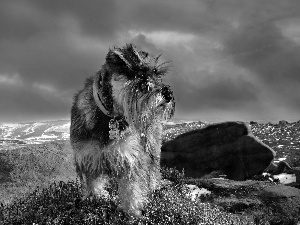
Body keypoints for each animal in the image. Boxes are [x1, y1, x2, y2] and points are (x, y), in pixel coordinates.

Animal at [69, 44, 175, 216]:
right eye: (141, 75)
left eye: (157, 73)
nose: (168, 93)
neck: (109, 117)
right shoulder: (88, 157)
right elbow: (93, 182)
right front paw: (95, 198)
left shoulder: (130, 158)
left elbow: (131, 189)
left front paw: (132, 212)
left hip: (151, 145)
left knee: (153, 168)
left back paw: (153, 186)